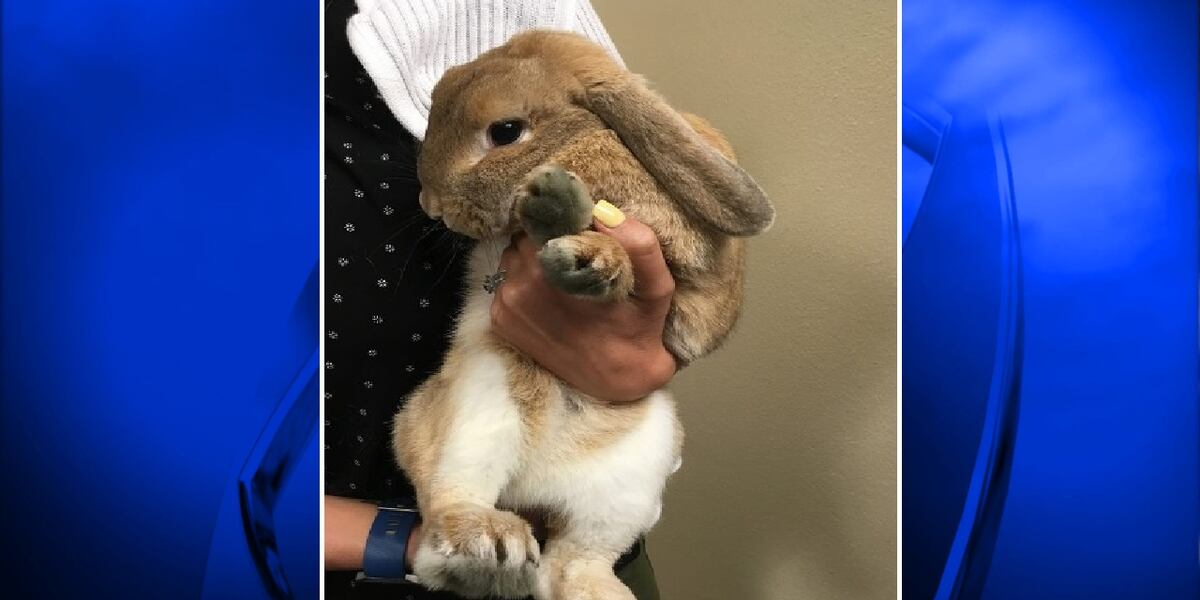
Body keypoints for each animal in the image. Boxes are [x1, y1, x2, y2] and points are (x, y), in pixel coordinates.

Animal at [395, 30, 774, 600]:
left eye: (505, 131)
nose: (431, 204)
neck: (585, 140)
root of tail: (539, 485)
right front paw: (561, 213)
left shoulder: (685, 294)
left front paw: (585, 250)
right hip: (474, 418)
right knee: (446, 522)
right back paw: (489, 546)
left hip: (631, 484)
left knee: (569, 561)